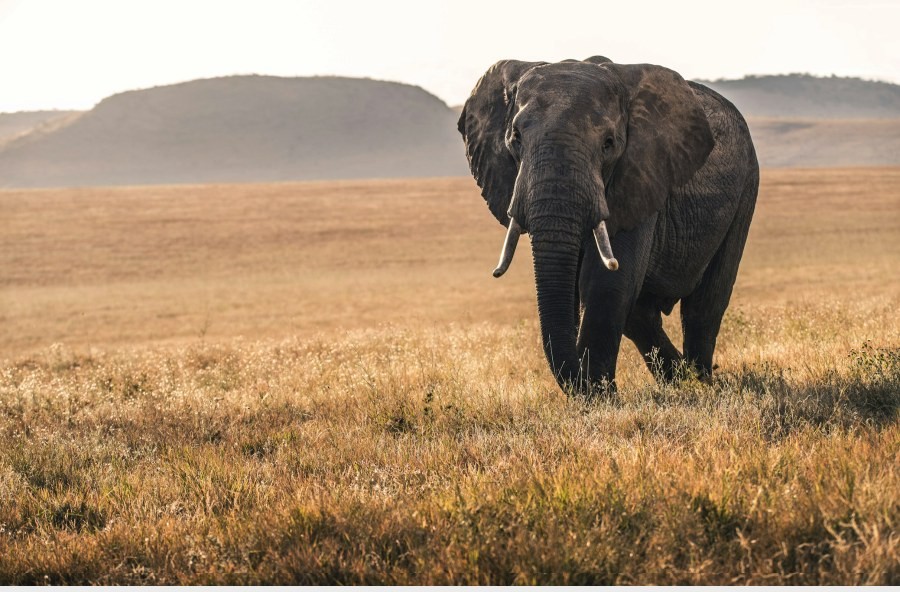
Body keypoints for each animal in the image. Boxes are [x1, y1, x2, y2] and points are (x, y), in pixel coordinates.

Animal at [457, 56, 759, 397]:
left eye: (608, 143)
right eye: (515, 138)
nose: (583, 383)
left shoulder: (640, 174)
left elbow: (606, 283)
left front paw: (600, 396)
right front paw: (596, 392)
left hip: (747, 186)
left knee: (705, 304)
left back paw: (700, 382)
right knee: (642, 314)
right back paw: (678, 380)